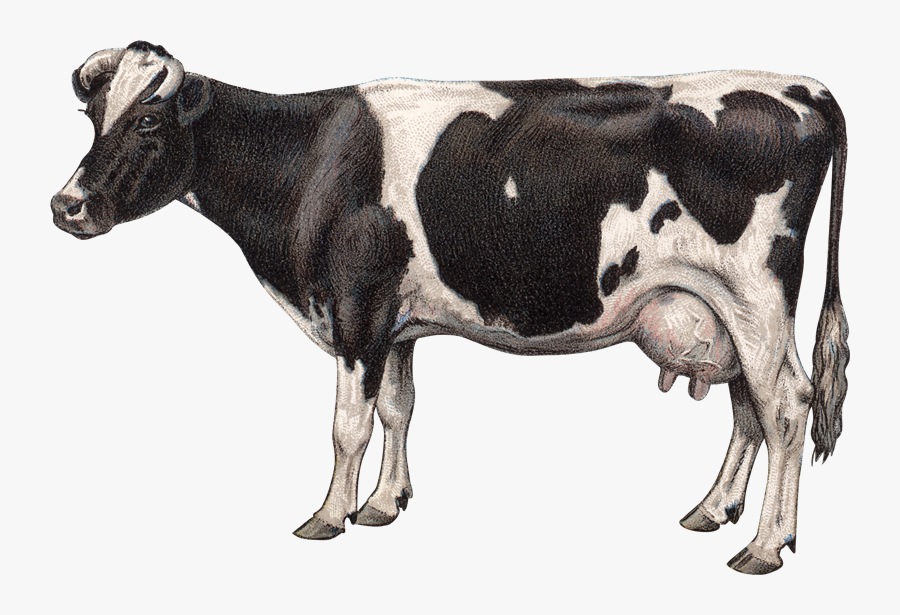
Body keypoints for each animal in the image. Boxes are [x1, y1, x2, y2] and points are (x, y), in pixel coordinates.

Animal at [51, 41, 849, 574]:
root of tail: (806, 88)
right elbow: (399, 407)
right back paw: (713, 511)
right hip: (728, 313)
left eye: (147, 124)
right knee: (751, 407)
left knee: (786, 404)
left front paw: (329, 515)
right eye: (94, 119)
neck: (310, 159)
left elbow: (347, 425)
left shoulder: (357, 304)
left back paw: (766, 546)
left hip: (754, 295)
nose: (67, 205)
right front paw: (384, 503)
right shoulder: (398, 321)